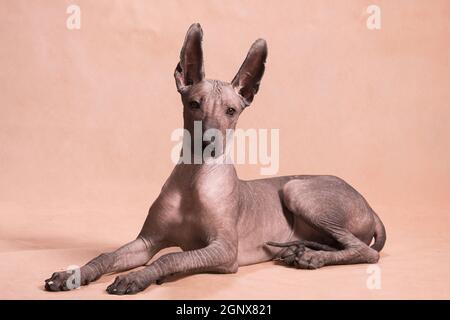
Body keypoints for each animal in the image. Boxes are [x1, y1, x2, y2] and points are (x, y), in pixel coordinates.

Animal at [44, 23, 384, 296]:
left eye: (231, 111)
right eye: (194, 104)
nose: (209, 142)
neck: (195, 177)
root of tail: (370, 207)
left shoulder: (224, 250)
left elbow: (170, 257)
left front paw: (138, 278)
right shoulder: (146, 241)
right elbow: (106, 256)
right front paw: (73, 275)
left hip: (296, 189)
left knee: (364, 252)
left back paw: (312, 257)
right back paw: (298, 252)